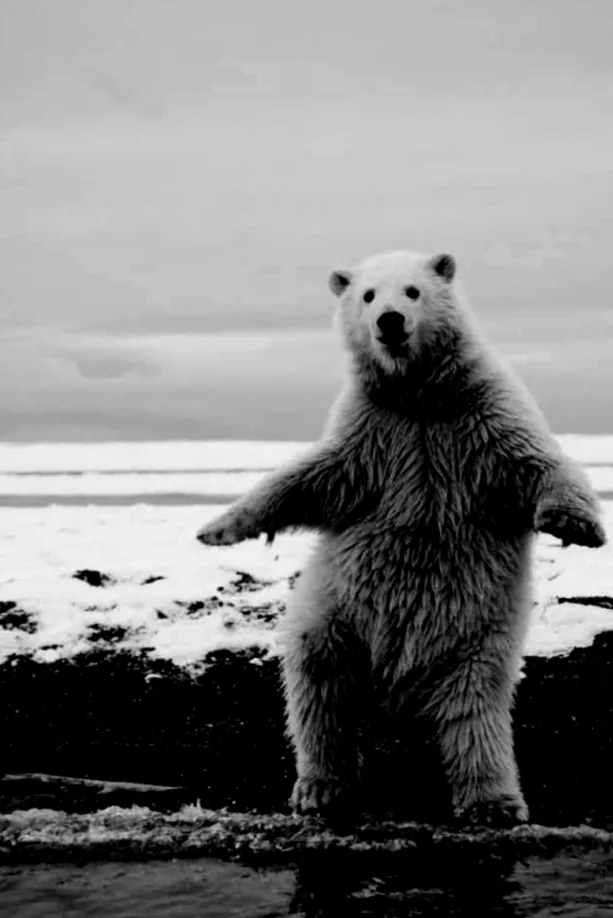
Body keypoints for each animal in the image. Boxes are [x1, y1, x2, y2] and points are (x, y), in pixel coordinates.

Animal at [196, 249, 606, 826]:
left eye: (413, 290)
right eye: (367, 294)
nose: (389, 321)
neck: (419, 397)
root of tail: (397, 694)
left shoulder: (481, 419)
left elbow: (537, 464)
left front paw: (579, 527)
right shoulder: (372, 435)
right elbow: (307, 480)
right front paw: (217, 528)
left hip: (474, 636)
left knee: (473, 709)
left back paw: (493, 801)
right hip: (337, 615)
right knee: (320, 688)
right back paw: (320, 786)